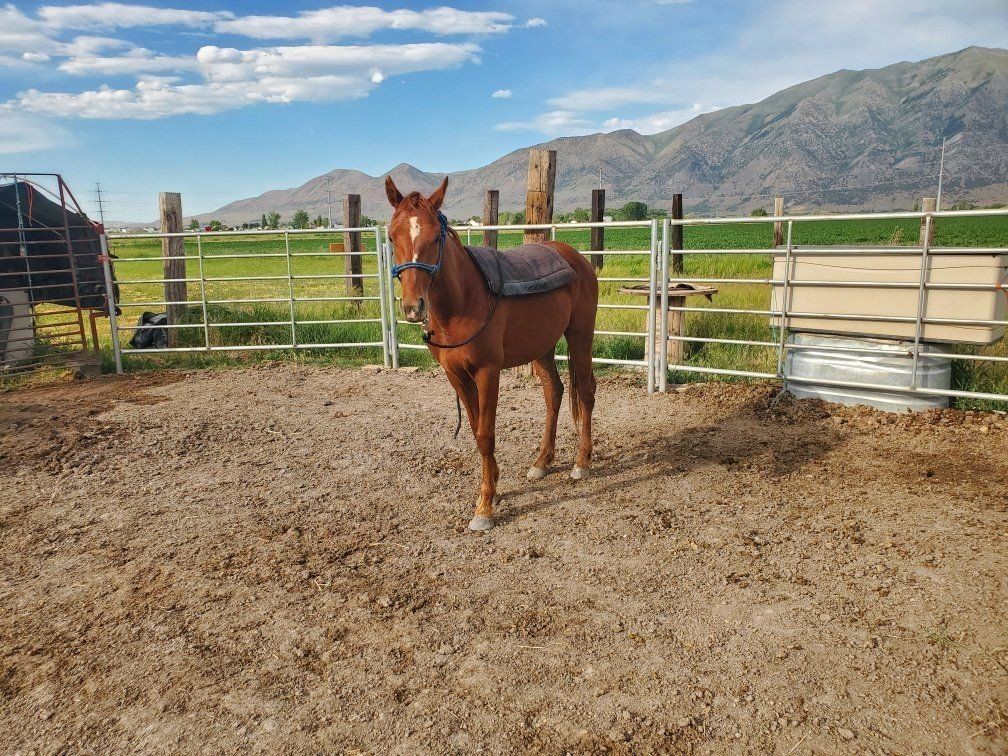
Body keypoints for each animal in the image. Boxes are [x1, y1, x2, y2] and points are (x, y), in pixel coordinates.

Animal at [385, 175, 598, 531]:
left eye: (435, 236)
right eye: (391, 236)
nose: (414, 307)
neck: (463, 301)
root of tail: (574, 256)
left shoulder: (487, 372)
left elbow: (485, 434)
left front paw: (485, 507)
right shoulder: (456, 375)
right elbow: (475, 429)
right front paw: (494, 488)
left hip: (580, 337)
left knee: (586, 393)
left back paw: (581, 462)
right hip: (542, 346)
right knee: (554, 392)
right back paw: (542, 461)